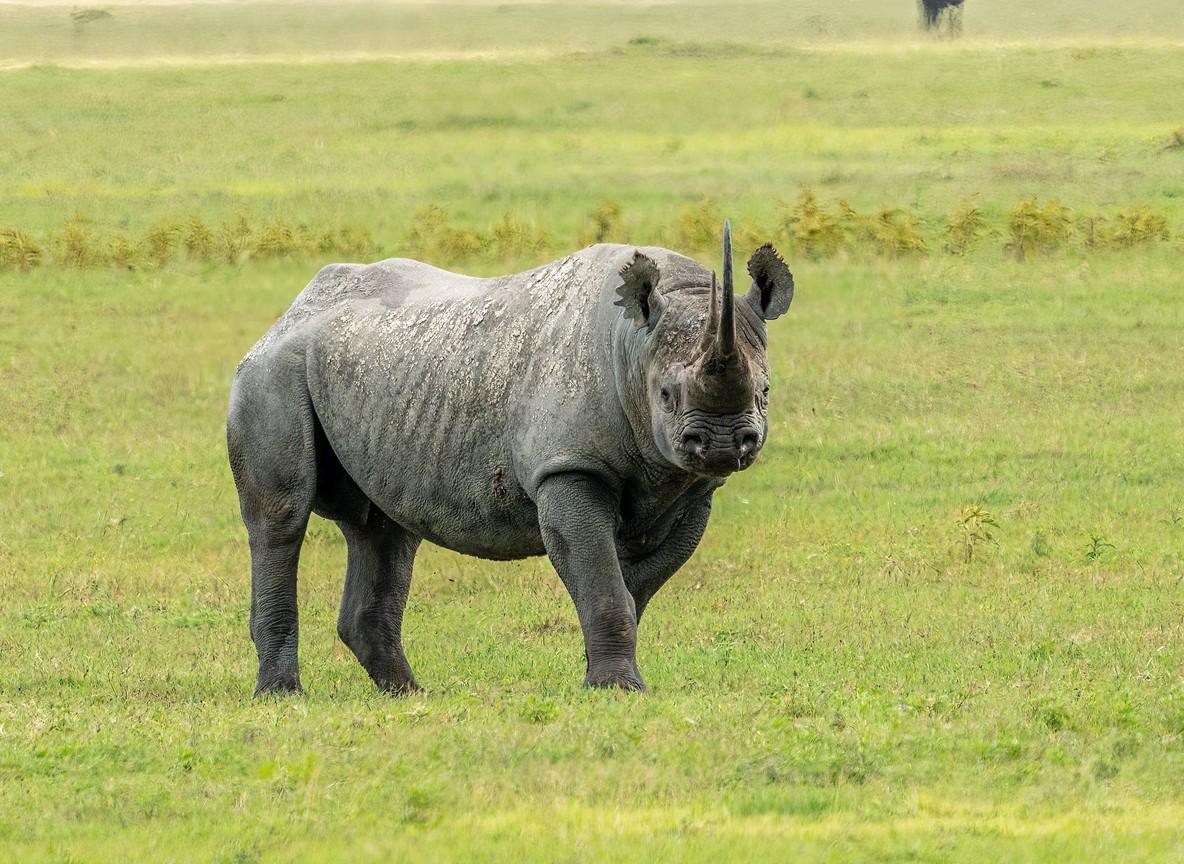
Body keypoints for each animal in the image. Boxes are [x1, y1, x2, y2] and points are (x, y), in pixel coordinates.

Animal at [227, 222, 793, 695]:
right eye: (667, 396)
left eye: (765, 392)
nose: (723, 445)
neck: (633, 343)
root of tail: (292, 309)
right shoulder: (568, 467)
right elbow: (604, 585)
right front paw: (618, 690)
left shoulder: (690, 488)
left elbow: (629, 590)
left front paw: (602, 680)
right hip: (272, 370)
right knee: (282, 518)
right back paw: (283, 696)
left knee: (383, 527)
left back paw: (406, 695)